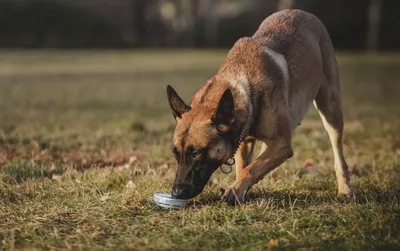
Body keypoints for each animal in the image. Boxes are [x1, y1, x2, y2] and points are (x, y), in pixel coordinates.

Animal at [166, 9, 354, 205]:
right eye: (176, 154)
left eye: (196, 153)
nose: (176, 193)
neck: (244, 83)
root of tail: (303, 12)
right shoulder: (245, 140)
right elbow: (246, 167)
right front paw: (241, 189)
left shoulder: (282, 144)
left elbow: (251, 168)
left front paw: (235, 190)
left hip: (330, 110)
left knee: (338, 156)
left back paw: (345, 189)